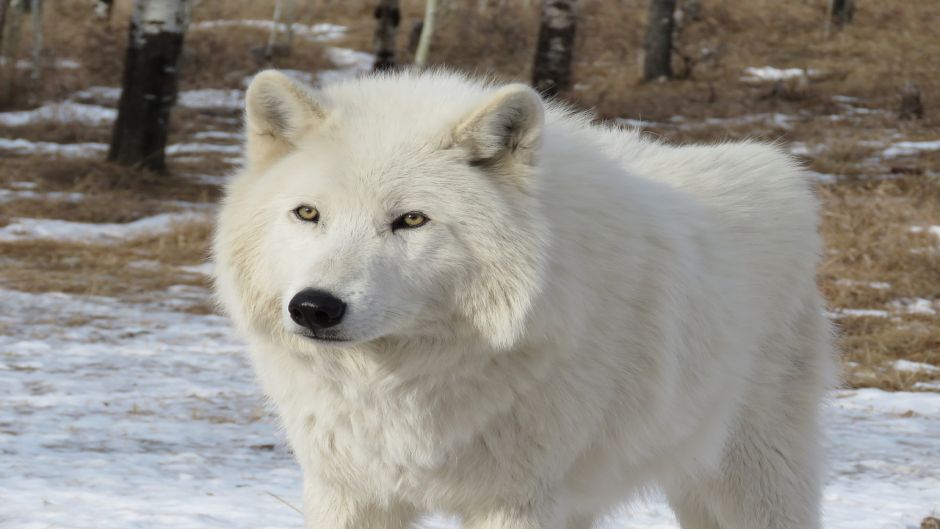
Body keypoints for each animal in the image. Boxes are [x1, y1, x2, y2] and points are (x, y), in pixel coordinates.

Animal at [212, 69, 836, 529]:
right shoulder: (347, 491)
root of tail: (780, 169)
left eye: (411, 220)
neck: (402, 385)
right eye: (308, 213)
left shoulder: (516, 501)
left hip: (753, 481)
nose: (314, 307)